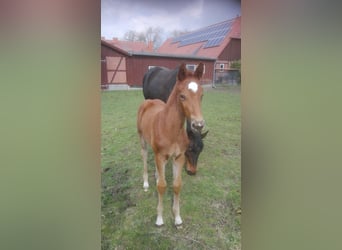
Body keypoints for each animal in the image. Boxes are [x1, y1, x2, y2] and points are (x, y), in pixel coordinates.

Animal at [137, 63, 206, 227]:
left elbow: (176, 185)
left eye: (202, 95)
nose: (198, 124)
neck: (169, 128)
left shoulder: (178, 157)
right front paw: (159, 219)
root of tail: (148, 102)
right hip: (142, 139)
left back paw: (156, 176)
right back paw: (146, 183)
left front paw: (177, 217)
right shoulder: (161, 155)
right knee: (144, 155)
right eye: (182, 96)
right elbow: (162, 186)